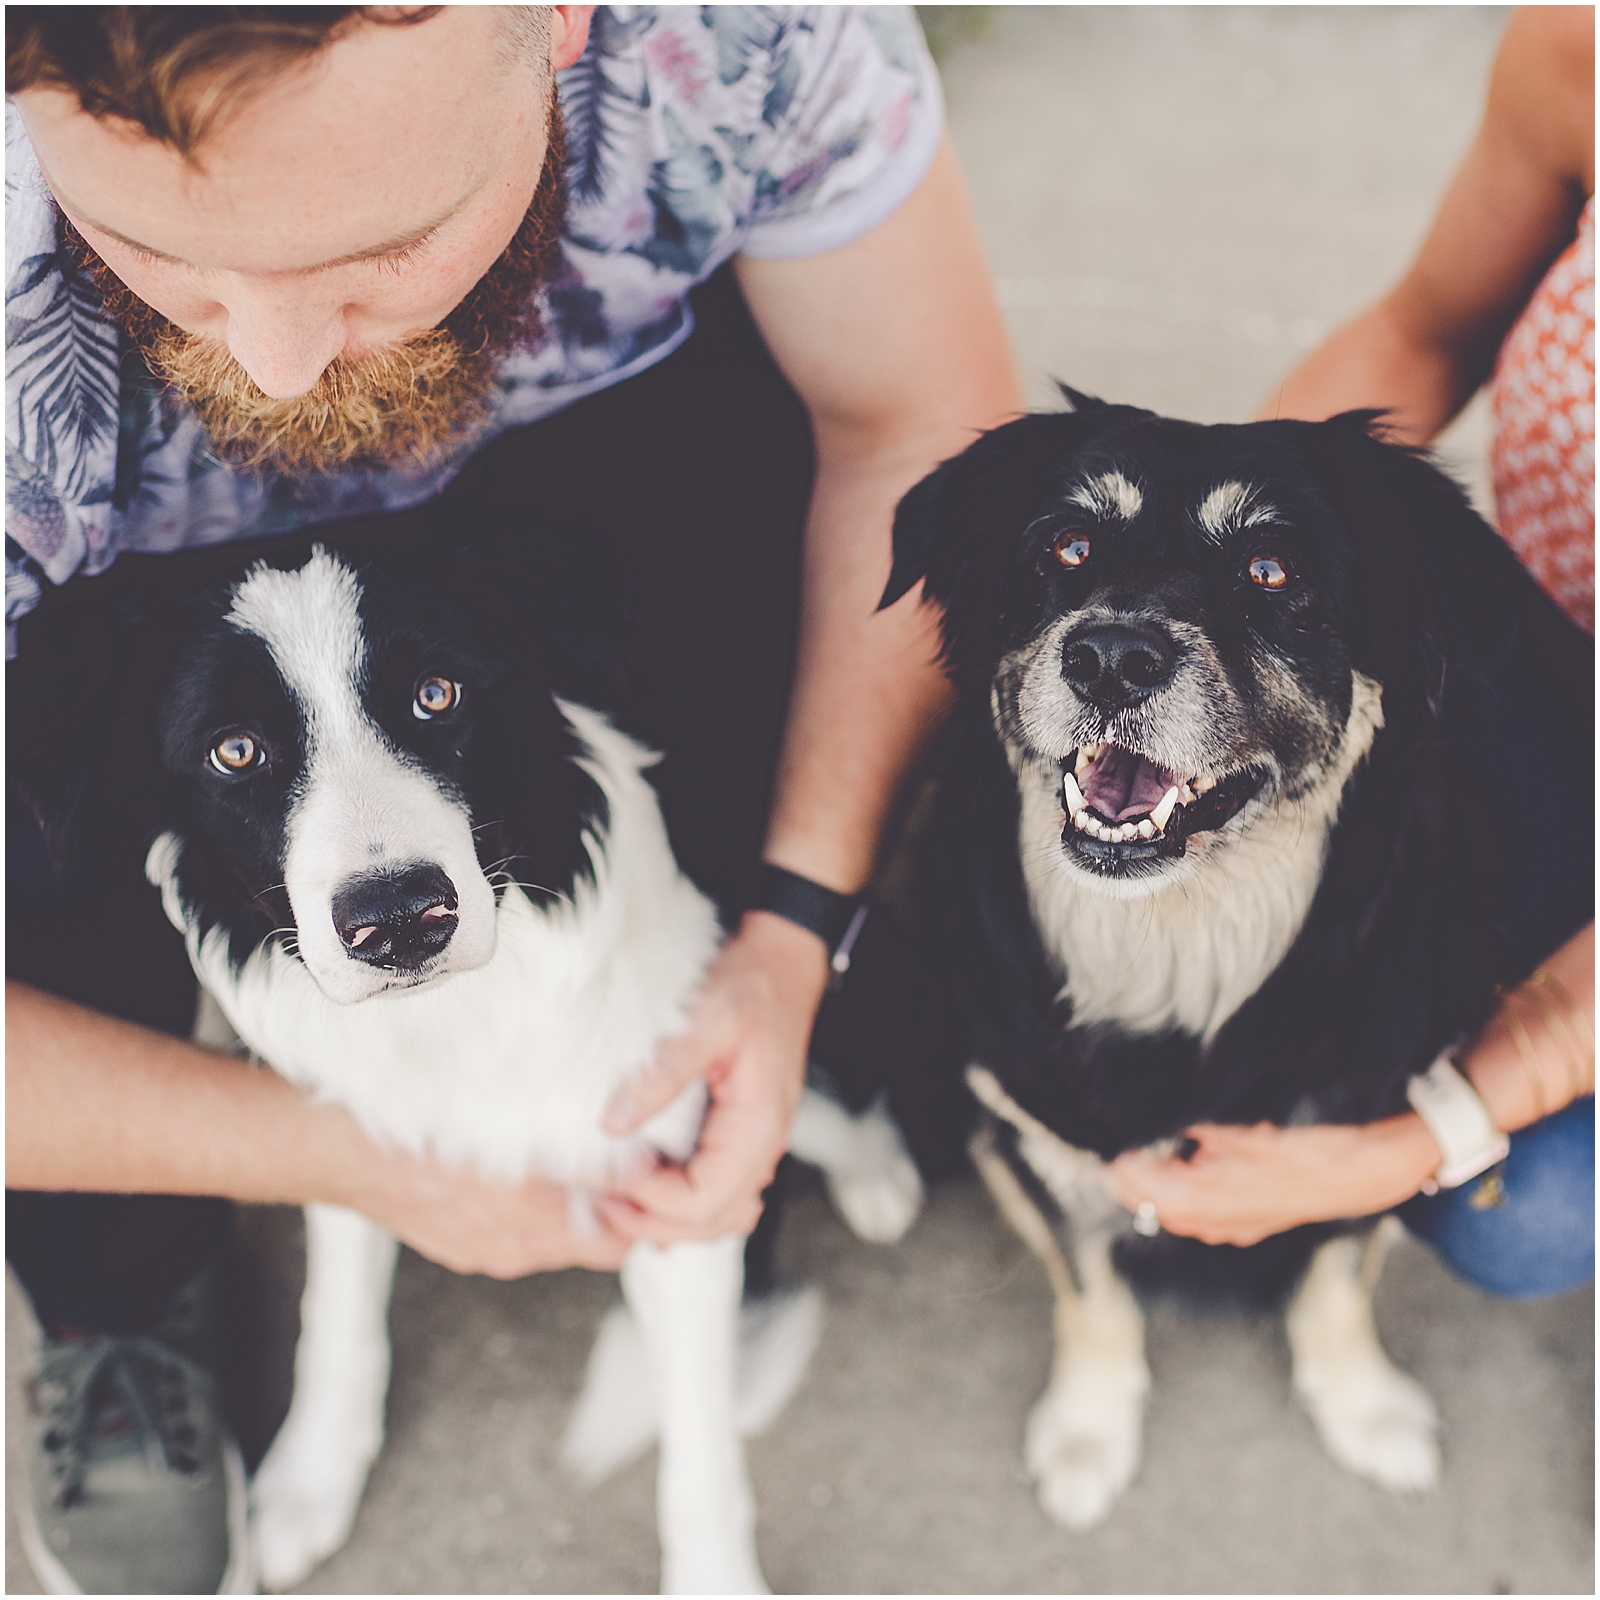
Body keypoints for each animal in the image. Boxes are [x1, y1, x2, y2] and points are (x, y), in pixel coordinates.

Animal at [883, 393, 1593, 1529]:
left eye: (1271, 568)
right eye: (1067, 546)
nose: (1109, 656)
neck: (1176, 951)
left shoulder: (1364, 1129)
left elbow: (1337, 1276)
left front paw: (1364, 1409)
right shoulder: (1024, 1133)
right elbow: (1090, 1290)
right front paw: (1089, 1430)